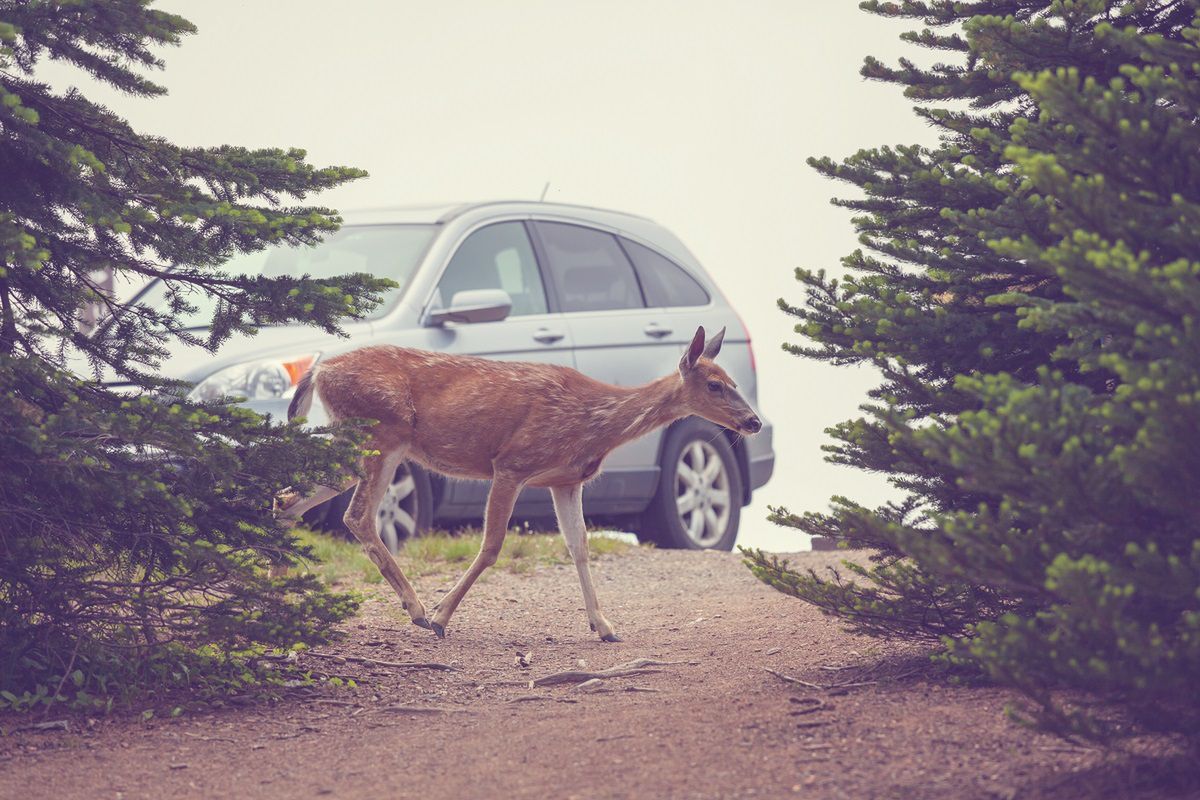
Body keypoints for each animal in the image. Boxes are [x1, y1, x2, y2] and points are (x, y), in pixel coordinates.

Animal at [278, 321, 758, 642]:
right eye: (715, 385)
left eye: (735, 381)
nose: (753, 421)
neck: (594, 422)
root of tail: (320, 371)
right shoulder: (511, 463)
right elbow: (492, 546)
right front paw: (442, 616)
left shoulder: (565, 480)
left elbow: (579, 547)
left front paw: (604, 626)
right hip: (381, 433)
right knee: (357, 516)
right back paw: (416, 609)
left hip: (356, 444)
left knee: (286, 499)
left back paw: (279, 595)